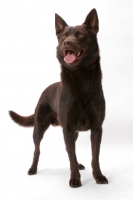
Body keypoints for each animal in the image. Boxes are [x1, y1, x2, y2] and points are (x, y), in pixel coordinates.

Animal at [9, 9, 108, 188]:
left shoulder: (97, 128)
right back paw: (32, 169)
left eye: (80, 35)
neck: (81, 76)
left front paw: (98, 176)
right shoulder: (67, 128)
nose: (67, 43)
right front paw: (75, 179)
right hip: (39, 128)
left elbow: (94, 157)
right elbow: (71, 156)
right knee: (37, 150)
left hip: (73, 132)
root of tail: (44, 91)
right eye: (63, 36)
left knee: (70, 150)